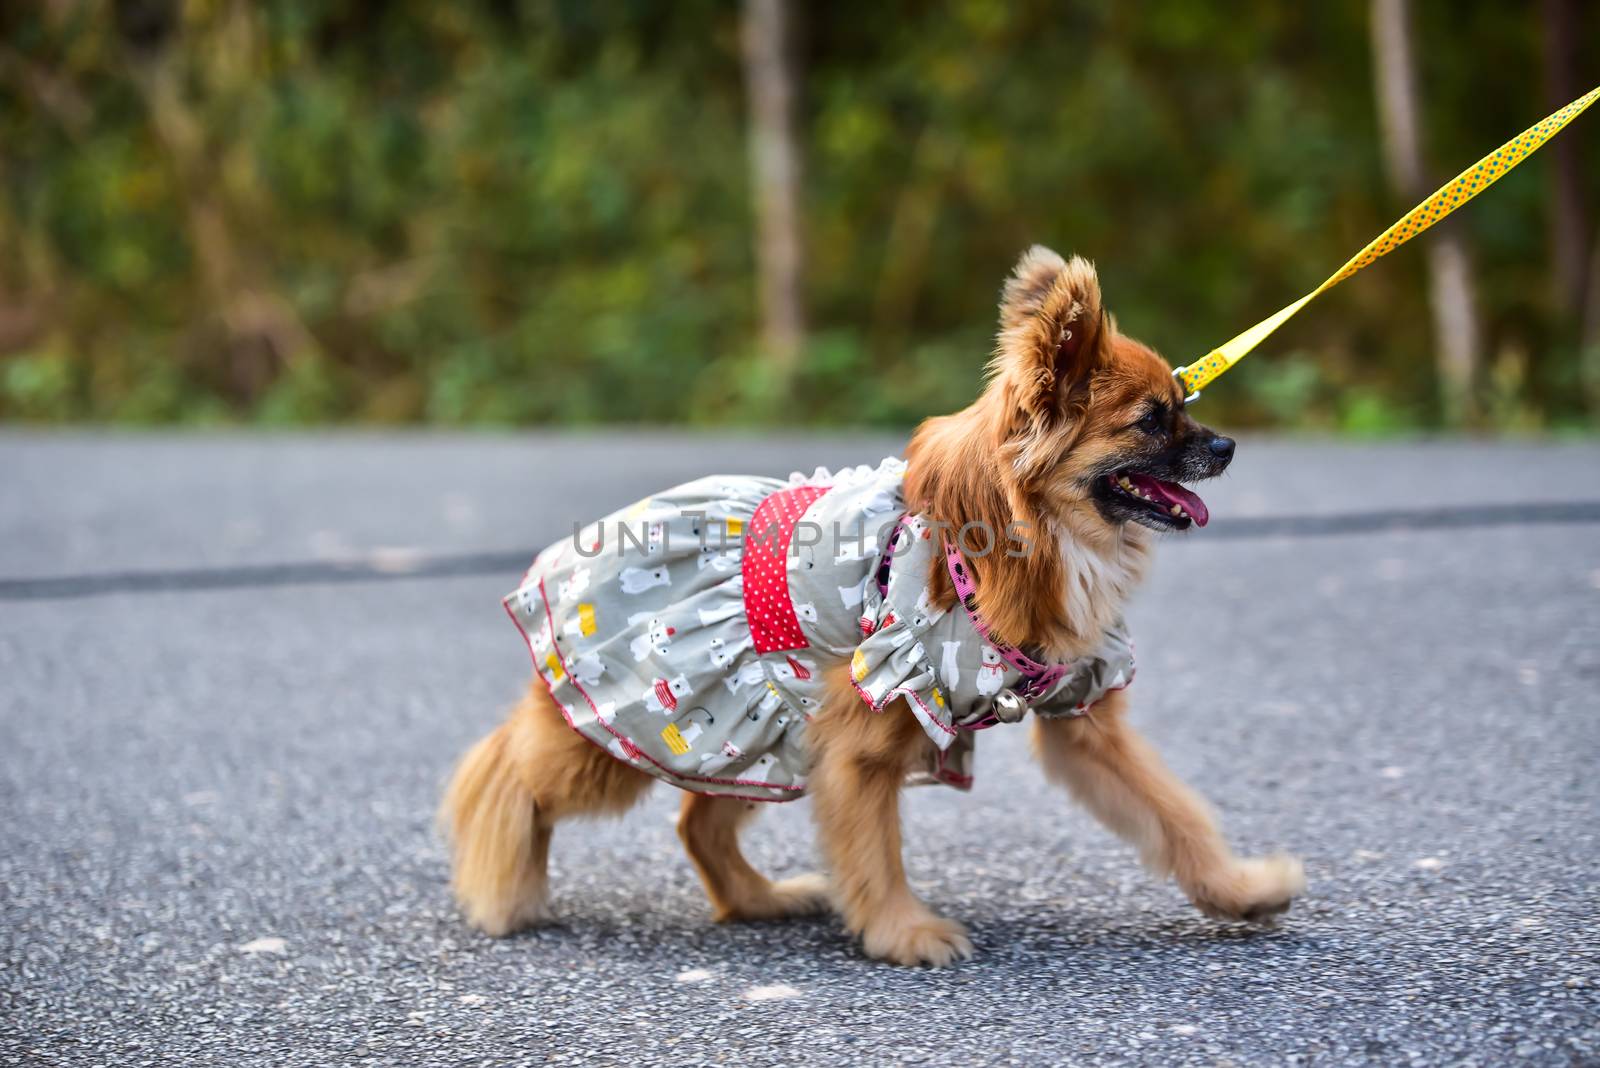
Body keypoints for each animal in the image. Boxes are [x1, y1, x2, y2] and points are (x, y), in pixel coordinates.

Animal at [438, 246, 1299, 965]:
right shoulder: (862, 737)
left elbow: (1174, 816)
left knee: (698, 823)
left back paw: (758, 899)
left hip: (762, 735)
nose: (1225, 447)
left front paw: (1240, 890)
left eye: (1184, 403)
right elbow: (875, 854)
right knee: (507, 768)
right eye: (1152, 420)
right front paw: (905, 934)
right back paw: (504, 880)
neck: (1029, 539)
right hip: (625, 733)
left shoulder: (1082, 723)